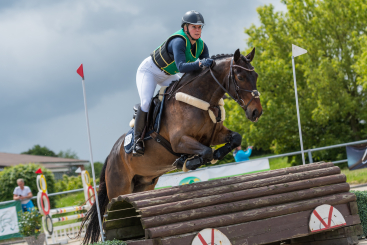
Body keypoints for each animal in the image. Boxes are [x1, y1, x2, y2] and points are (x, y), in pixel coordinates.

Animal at [81, 47, 264, 243]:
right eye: (240, 76)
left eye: (256, 75)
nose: (256, 112)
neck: (201, 99)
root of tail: (111, 155)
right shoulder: (179, 141)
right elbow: (206, 151)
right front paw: (189, 161)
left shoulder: (215, 135)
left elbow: (235, 138)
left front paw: (216, 155)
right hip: (119, 187)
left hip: (143, 185)